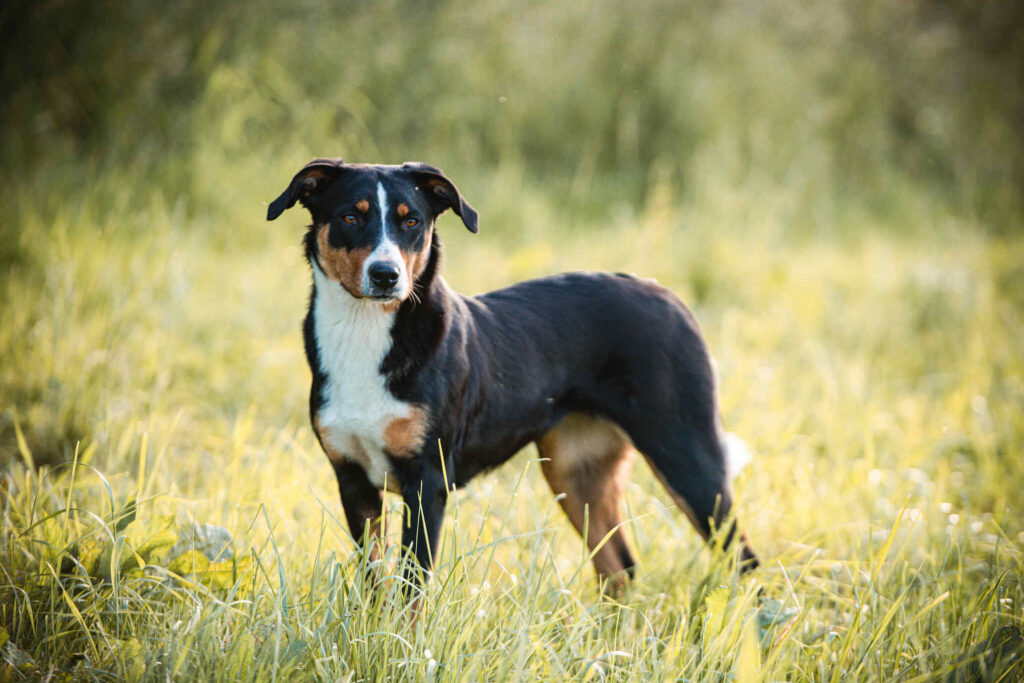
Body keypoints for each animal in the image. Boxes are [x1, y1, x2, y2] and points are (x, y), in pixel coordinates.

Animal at [268, 158, 757, 593]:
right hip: (577, 473)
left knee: (745, 563)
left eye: (411, 222)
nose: (386, 275)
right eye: (351, 216)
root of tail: (665, 293)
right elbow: (372, 584)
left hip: (687, 457)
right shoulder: (353, 481)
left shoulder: (426, 482)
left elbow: (412, 590)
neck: (364, 334)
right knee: (619, 569)